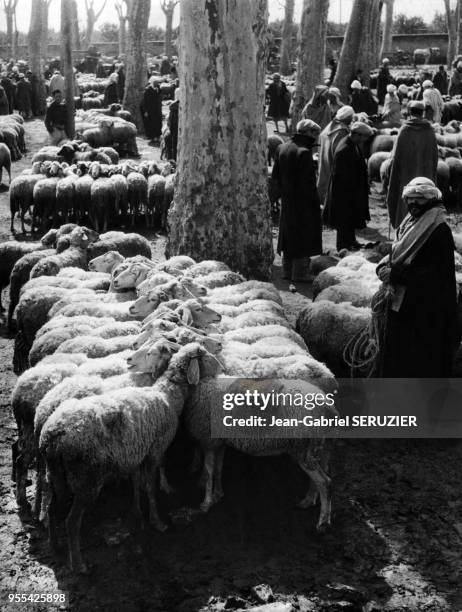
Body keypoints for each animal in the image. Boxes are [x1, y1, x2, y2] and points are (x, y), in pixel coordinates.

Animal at [39, 342, 215, 572]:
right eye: (203, 354)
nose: (219, 366)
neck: (168, 394)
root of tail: (53, 434)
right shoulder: (155, 451)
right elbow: (150, 488)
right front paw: (157, 522)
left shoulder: (136, 453)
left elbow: (137, 484)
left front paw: (137, 513)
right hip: (85, 479)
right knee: (71, 522)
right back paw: (78, 564)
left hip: (56, 475)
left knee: (51, 509)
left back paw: (54, 545)